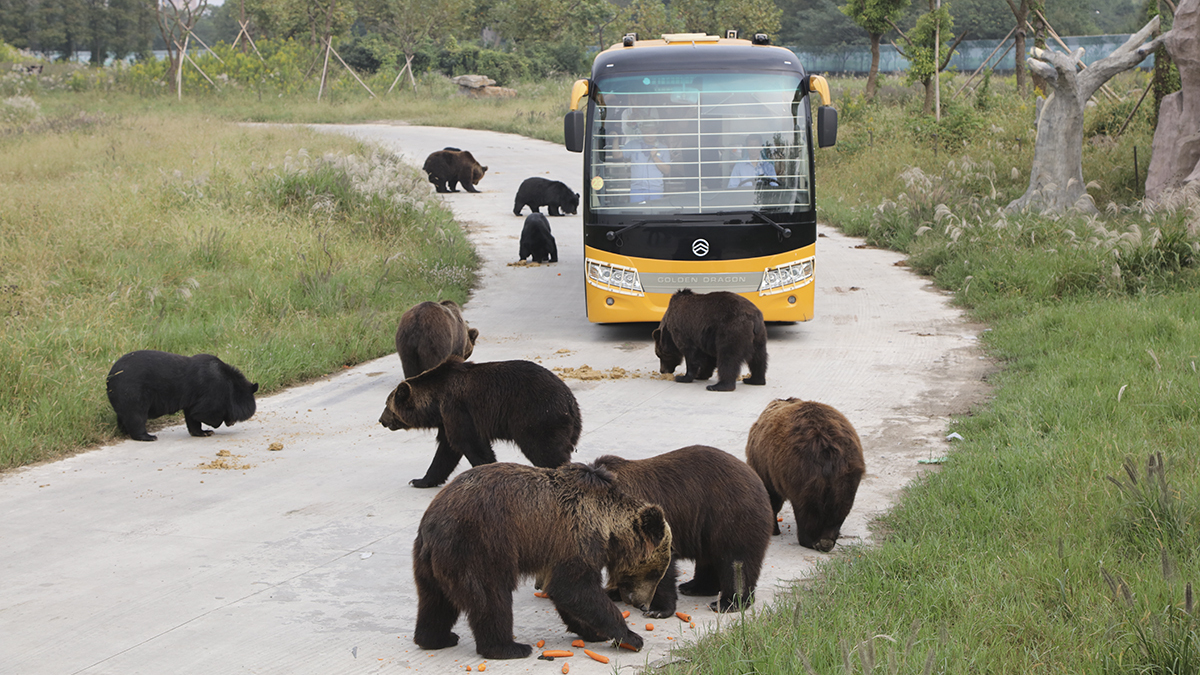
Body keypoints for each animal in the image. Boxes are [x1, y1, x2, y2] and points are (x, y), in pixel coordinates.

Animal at [106, 345, 259, 441]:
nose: (231, 423)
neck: (230, 384)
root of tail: (110, 378)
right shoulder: (213, 391)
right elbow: (203, 412)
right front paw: (213, 427)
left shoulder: (194, 399)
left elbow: (192, 416)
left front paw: (203, 432)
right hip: (132, 392)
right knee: (136, 416)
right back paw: (148, 436)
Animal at [376, 355, 578, 485]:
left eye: (387, 405)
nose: (381, 420)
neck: (435, 401)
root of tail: (569, 400)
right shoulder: (447, 419)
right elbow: (446, 451)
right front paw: (420, 480)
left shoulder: (458, 409)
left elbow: (470, 443)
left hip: (536, 416)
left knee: (546, 451)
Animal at [412, 458, 676, 653]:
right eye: (654, 572)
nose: (643, 604)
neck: (608, 527)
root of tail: (432, 524)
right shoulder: (576, 536)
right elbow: (574, 587)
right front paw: (631, 636)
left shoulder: (557, 549)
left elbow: (565, 592)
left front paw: (593, 632)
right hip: (481, 545)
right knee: (491, 597)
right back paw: (509, 647)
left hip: (431, 560)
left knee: (434, 601)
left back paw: (437, 638)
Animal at [744, 396, 868, 550]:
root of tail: (827, 448)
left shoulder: (766, 468)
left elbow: (772, 497)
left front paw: (773, 528)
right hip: (846, 475)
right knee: (840, 508)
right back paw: (828, 539)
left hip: (803, 474)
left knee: (807, 510)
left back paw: (810, 540)